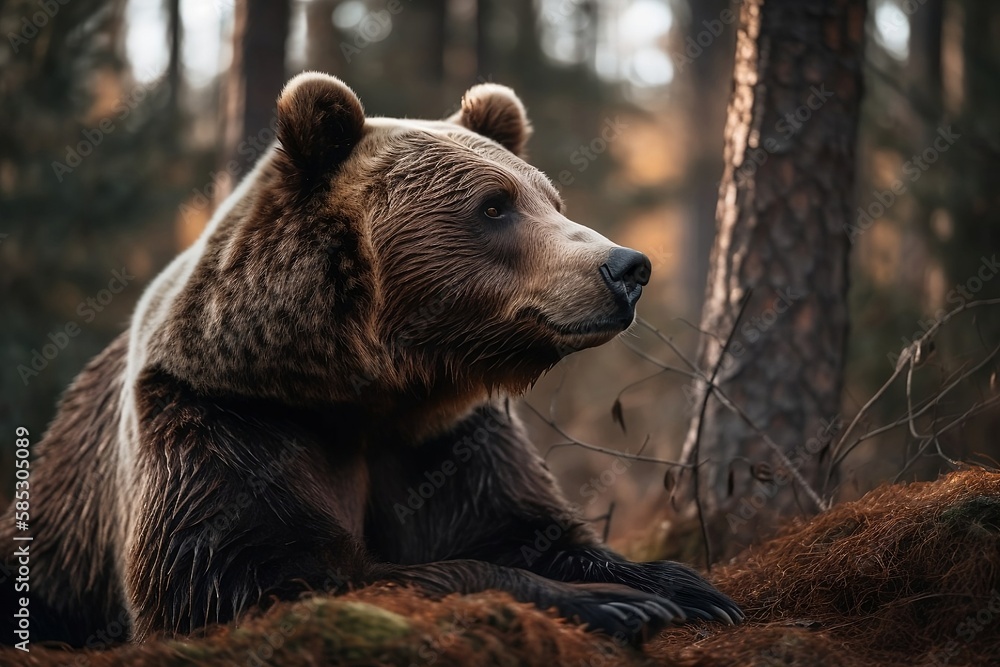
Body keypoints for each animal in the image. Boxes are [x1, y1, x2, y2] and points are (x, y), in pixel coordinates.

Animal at [0, 72, 741, 648]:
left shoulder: (446, 439)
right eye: (494, 206)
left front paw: (687, 586)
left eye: (551, 200)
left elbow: (528, 526)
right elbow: (254, 579)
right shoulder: (224, 422)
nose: (626, 267)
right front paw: (616, 604)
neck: (364, 387)